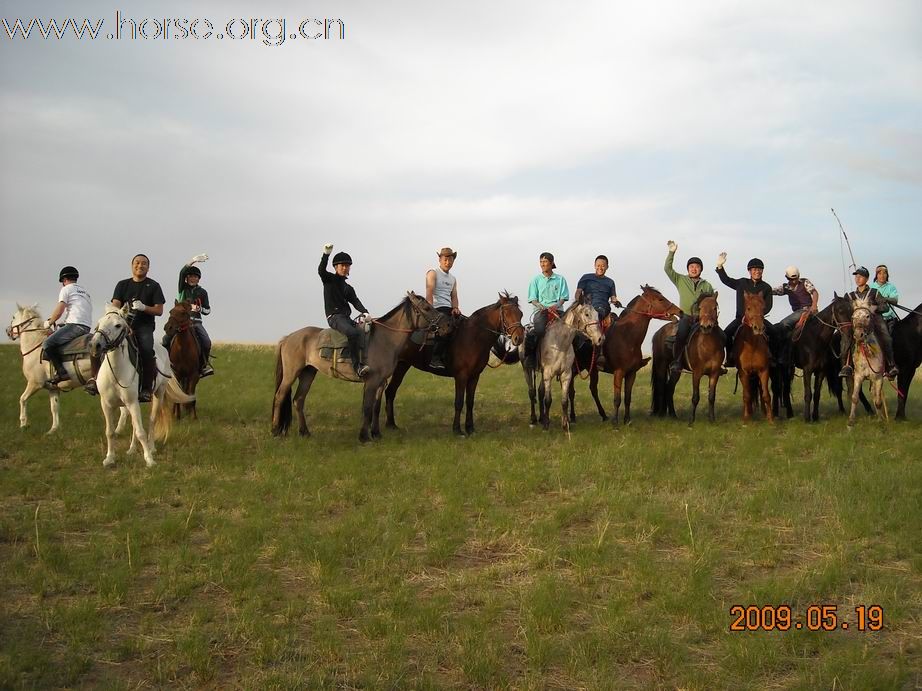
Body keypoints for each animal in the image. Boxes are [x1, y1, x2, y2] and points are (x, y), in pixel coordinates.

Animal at [5, 306, 126, 436]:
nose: (8, 331)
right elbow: (54, 408)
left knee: (124, 410)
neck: (35, 346)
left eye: (13, 317)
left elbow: (22, 399)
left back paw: (117, 431)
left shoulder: (35, 384)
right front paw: (53, 430)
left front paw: (23, 424)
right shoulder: (53, 389)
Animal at [270, 290, 450, 444]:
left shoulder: (381, 382)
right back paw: (275, 431)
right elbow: (367, 407)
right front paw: (364, 437)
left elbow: (376, 407)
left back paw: (304, 432)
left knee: (299, 400)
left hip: (308, 373)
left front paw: (376, 434)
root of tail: (288, 338)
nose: (447, 325)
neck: (386, 339)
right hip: (291, 374)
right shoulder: (371, 381)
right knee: (280, 396)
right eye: (426, 308)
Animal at [382, 294, 524, 436]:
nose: (519, 338)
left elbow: (470, 402)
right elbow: (459, 402)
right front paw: (457, 430)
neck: (473, 338)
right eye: (506, 313)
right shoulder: (461, 376)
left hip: (402, 365)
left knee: (390, 391)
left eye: (520, 314)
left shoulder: (474, 376)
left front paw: (470, 428)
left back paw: (391, 424)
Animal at [844, 298, 888, 428]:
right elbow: (854, 397)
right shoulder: (858, 376)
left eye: (867, 316)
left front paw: (881, 420)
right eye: (853, 317)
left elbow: (878, 400)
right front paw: (851, 421)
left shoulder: (878, 378)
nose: (859, 335)